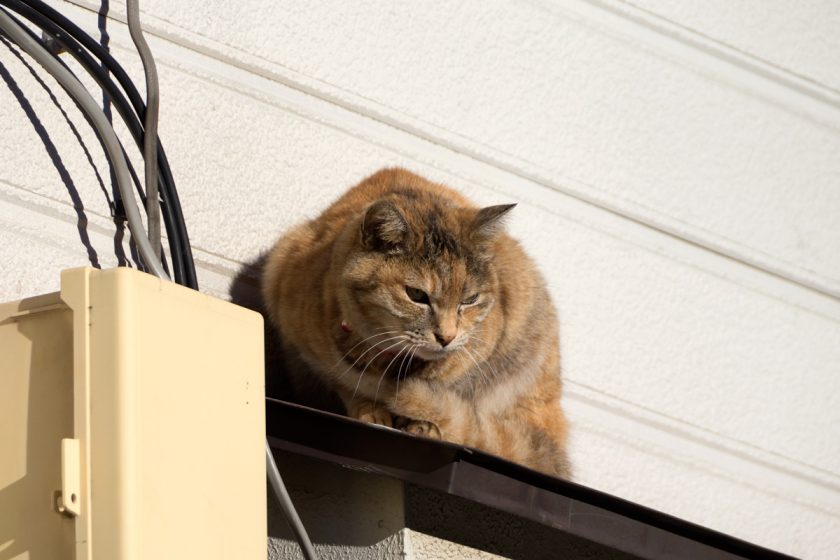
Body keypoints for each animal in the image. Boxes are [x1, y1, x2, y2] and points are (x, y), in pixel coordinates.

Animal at [260, 166, 572, 476]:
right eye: (417, 295)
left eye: (469, 300)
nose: (447, 336)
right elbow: (347, 385)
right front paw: (370, 410)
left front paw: (423, 423)